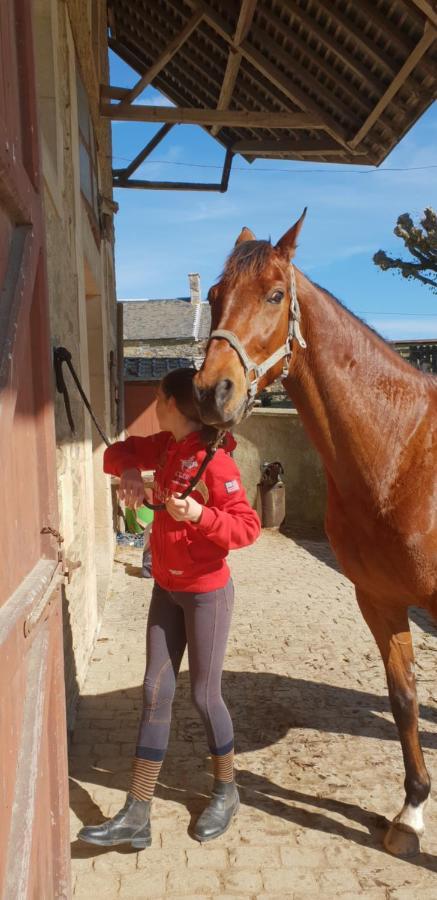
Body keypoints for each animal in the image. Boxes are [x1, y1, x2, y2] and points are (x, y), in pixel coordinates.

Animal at [194, 213, 436, 856]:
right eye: (213, 295)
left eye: (276, 295)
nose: (211, 391)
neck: (404, 452)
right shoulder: (378, 599)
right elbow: (404, 699)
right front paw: (410, 815)